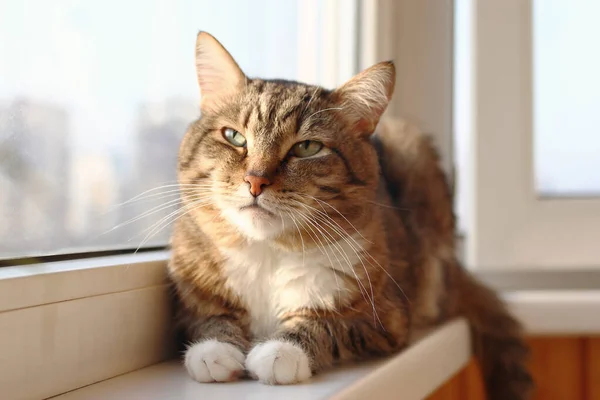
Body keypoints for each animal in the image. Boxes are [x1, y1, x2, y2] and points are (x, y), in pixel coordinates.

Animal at [169, 32, 536, 400]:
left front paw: (282, 350)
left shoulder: (384, 317)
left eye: (307, 147)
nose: (255, 181)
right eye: (234, 137)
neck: (268, 252)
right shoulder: (191, 291)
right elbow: (208, 315)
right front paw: (214, 347)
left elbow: (330, 324)